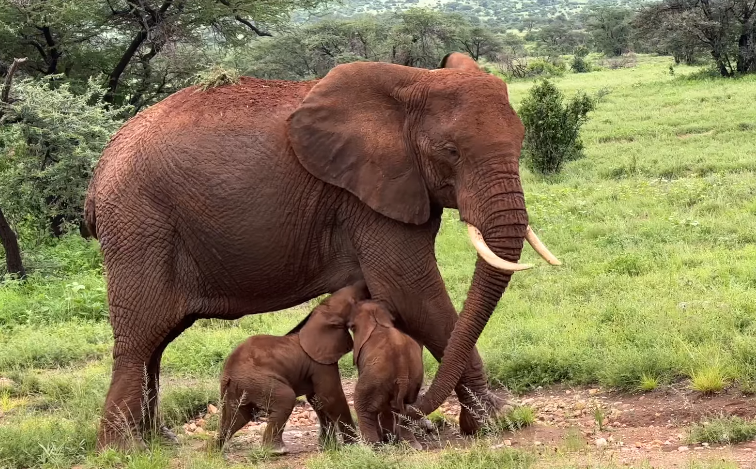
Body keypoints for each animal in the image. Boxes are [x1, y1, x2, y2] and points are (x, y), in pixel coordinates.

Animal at [214, 283, 365, 453]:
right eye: (353, 302)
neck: (318, 316)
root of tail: (227, 373)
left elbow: (317, 399)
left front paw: (328, 447)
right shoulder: (320, 363)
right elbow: (330, 396)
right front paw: (356, 446)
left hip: (237, 387)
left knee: (236, 416)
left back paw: (214, 450)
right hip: (256, 381)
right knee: (286, 398)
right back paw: (277, 451)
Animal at [349, 300, 424, 450]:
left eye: (352, 327)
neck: (376, 319)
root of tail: (402, 365)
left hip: (375, 376)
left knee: (363, 405)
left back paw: (372, 447)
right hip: (414, 376)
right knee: (407, 406)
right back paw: (412, 446)